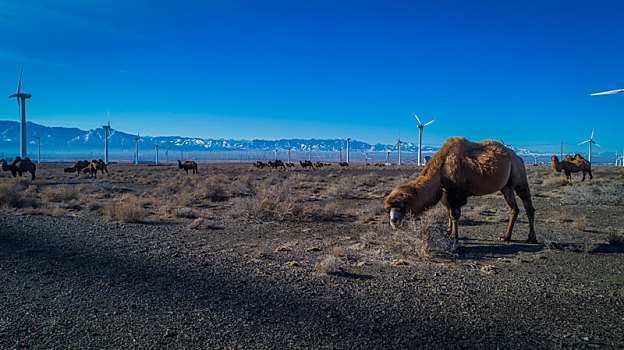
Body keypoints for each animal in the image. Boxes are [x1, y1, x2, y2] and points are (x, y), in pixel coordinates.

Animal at [386, 137, 536, 243]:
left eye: (402, 205)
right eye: (388, 210)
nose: (393, 222)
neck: (442, 167)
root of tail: (518, 157)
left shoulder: (455, 193)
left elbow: (455, 215)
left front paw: (454, 235)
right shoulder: (447, 193)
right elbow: (450, 214)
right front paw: (450, 232)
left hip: (518, 172)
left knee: (527, 202)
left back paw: (531, 238)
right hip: (506, 185)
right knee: (513, 208)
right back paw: (506, 237)